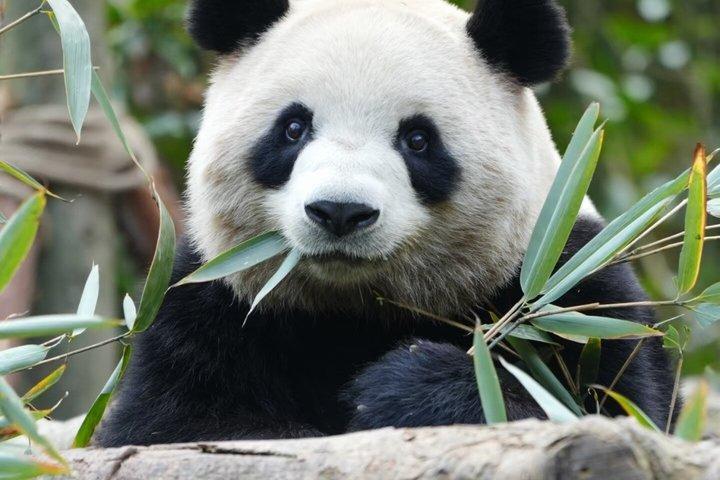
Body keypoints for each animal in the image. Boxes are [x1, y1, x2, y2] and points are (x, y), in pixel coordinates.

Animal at [97, 0, 675, 447]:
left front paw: (399, 390)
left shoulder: (571, 286)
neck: (357, 306)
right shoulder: (209, 296)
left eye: (417, 139)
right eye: (293, 128)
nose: (340, 211)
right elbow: (175, 425)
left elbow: (605, 408)